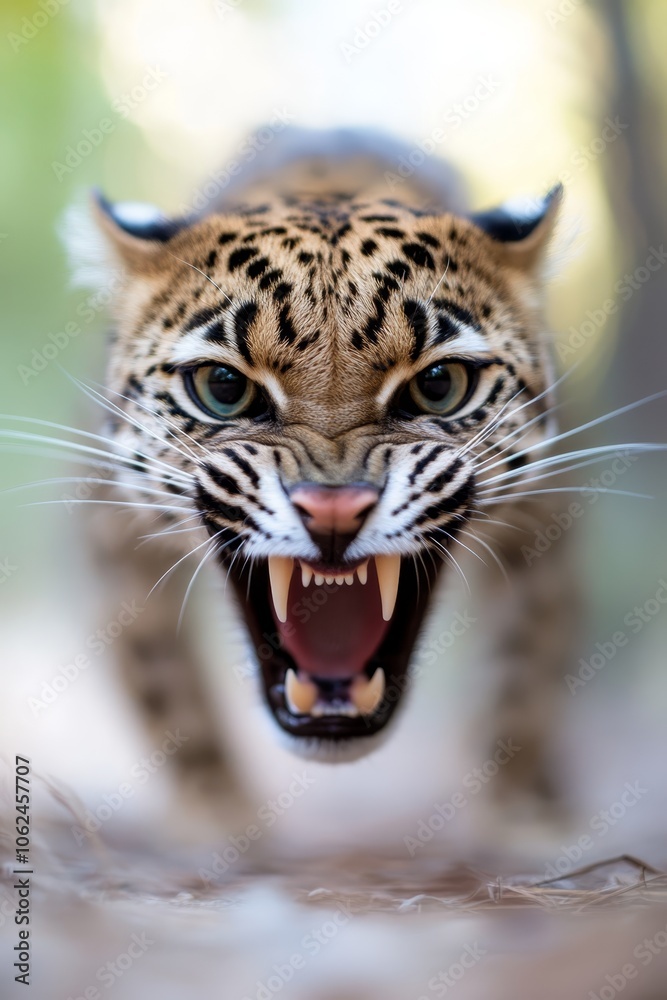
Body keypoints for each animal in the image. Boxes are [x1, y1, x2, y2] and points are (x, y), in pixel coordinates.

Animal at [62, 127, 582, 820]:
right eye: (222, 387)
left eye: (439, 385)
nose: (333, 511)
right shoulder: (112, 540)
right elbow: (171, 704)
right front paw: (219, 822)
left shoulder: (545, 533)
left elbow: (522, 686)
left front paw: (511, 818)